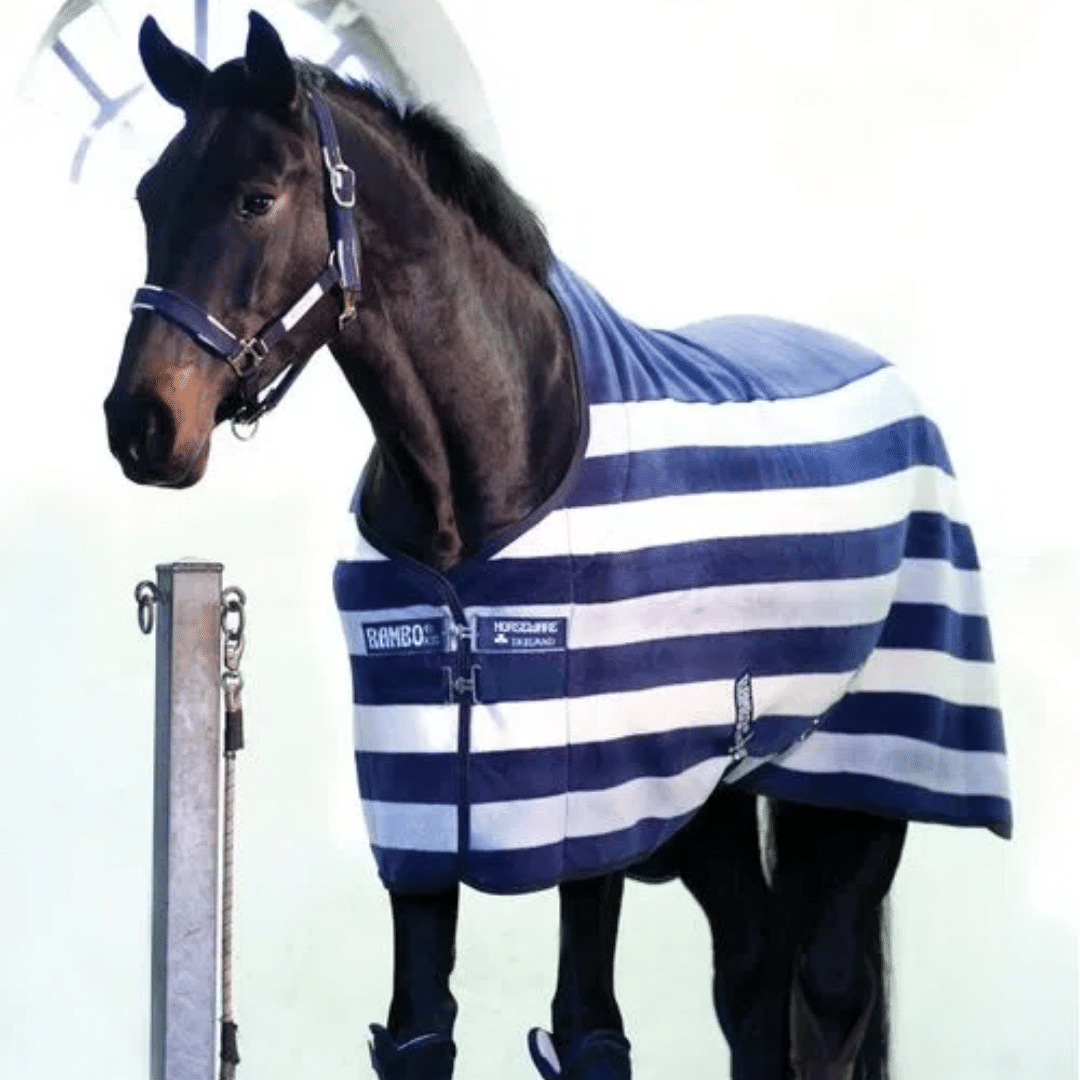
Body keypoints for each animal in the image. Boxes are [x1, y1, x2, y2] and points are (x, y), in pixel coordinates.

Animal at [104, 13, 1011, 1080]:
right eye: (149, 194)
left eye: (256, 198)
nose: (142, 425)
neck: (486, 475)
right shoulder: (422, 811)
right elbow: (422, 1030)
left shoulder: (597, 807)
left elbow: (589, 1035)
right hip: (714, 809)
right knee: (753, 983)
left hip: (861, 785)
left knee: (825, 997)